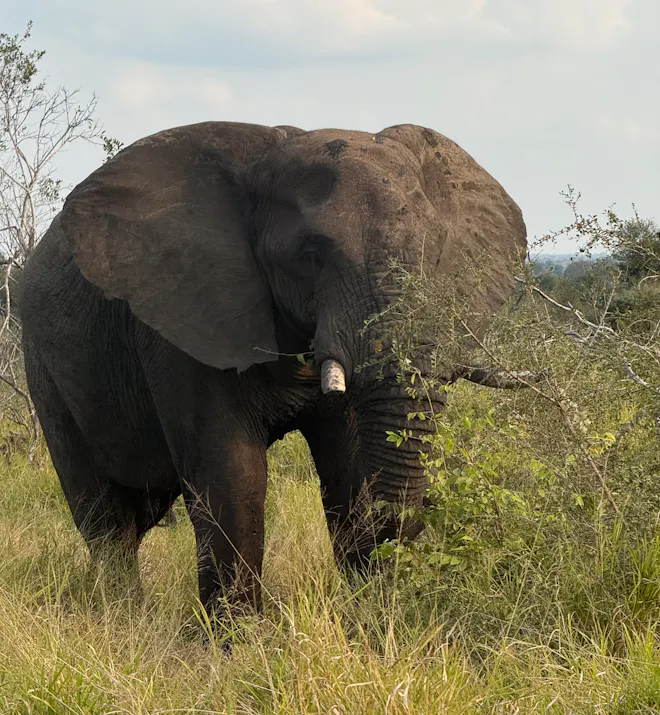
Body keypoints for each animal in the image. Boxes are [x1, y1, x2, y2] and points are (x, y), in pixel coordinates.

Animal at [18, 121, 526, 620]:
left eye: (436, 256)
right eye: (311, 256)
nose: (407, 519)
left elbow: (346, 465)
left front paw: (373, 619)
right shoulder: (184, 321)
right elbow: (232, 475)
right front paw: (239, 640)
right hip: (41, 361)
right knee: (104, 519)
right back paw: (122, 616)